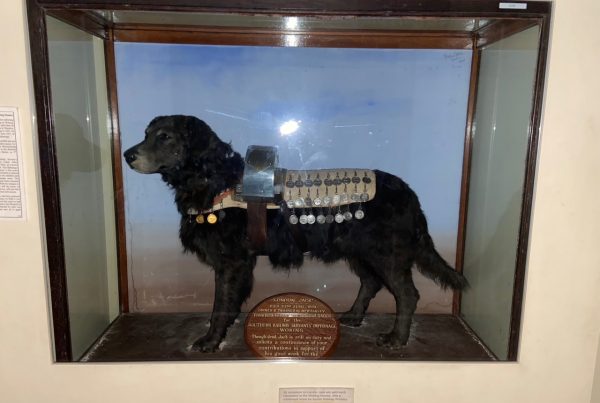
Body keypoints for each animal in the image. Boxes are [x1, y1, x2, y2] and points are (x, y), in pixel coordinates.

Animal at [123, 114, 468, 354]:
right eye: (146, 134)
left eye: (164, 136)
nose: (127, 154)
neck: (215, 180)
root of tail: (408, 192)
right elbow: (229, 303)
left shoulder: (231, 262)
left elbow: (220, 304)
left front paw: (210, 340)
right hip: (359, 251)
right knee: (370, 283)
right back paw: (354, 316)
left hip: (386, 254)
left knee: (407, 294)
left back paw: (397, 338)